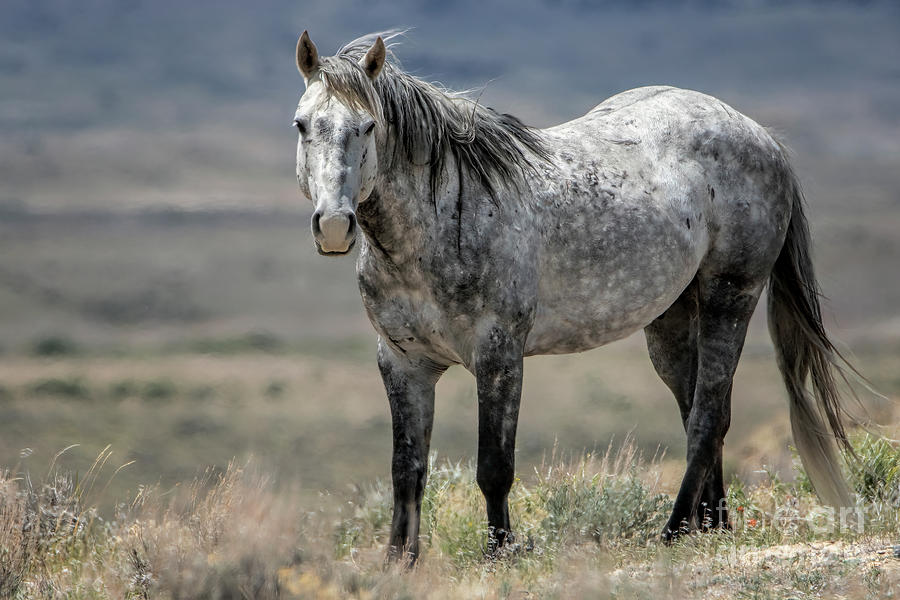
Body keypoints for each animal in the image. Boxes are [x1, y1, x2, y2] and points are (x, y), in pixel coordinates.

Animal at [292, 30, 856, 560]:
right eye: (302, 125)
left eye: (368, 127)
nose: (335, 226)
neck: (441, 221)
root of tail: (761, 135)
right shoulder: (402, 363)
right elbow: (406, 471)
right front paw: (398, 564)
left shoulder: (499, 355)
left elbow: (494, 467)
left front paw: (499, 553)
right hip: (674, 318)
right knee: (701, 409)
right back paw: (712, 528)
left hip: (730, 296)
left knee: (707, 417)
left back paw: (673, 532)